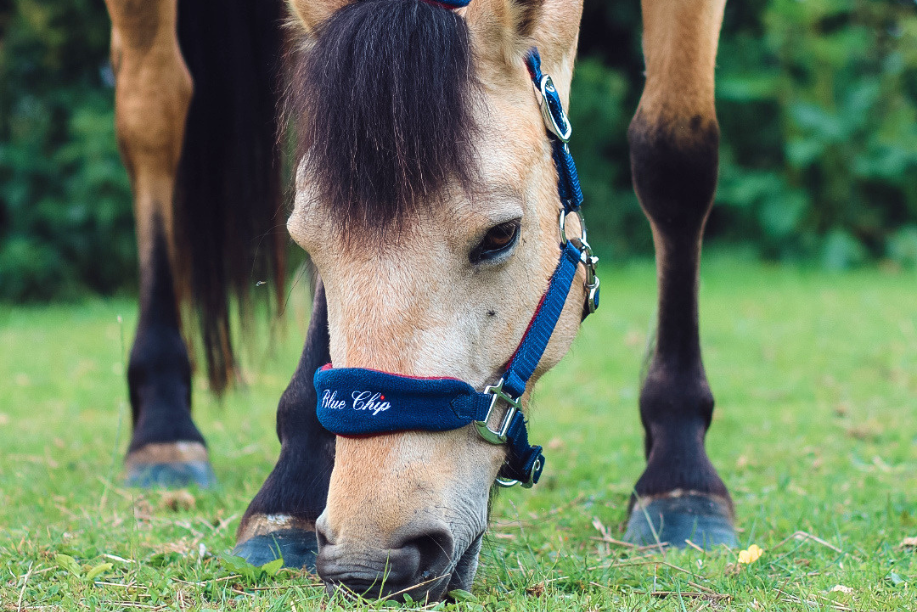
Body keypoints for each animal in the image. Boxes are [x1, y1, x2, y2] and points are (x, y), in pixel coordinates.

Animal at [105, 0, 731, 601]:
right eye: (306, 241)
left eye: (500, 235)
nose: (368, 560)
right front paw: (290, 490)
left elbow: (675, 155)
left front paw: (680, 475)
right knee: (152, 110)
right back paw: (163, 430)